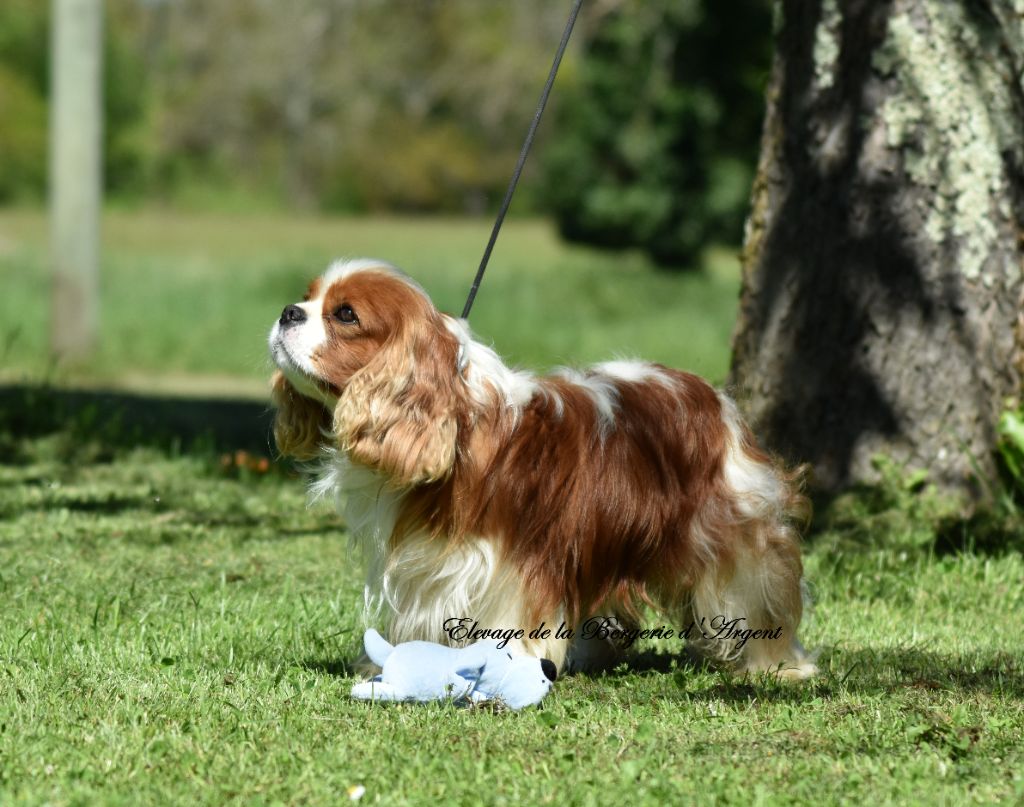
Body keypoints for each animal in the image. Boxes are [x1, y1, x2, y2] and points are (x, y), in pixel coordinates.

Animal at [270, 260, 815, 680]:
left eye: (345, 315)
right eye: (307, 298)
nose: (287, 312)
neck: (459, 422)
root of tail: (711, 396)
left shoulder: (515, 563)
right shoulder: (429, 566)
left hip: (736, 535)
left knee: (758, 596)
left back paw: (779, 665)